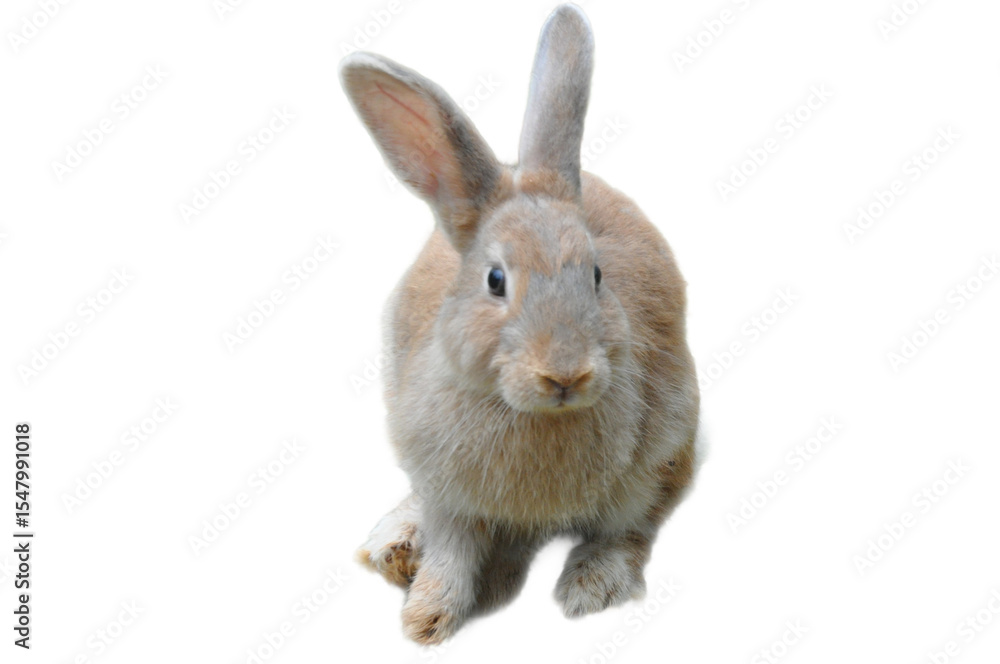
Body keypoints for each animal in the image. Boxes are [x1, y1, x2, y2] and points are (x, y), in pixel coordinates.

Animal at [341, 3, 701, 644]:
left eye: (597, 275)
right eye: (495, 280)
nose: (565, 376)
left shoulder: (646, 466)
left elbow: (626, 528)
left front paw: (591, 586)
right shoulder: (446, 490)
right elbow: (452, 552)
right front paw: (426, 618)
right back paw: (393, 542)